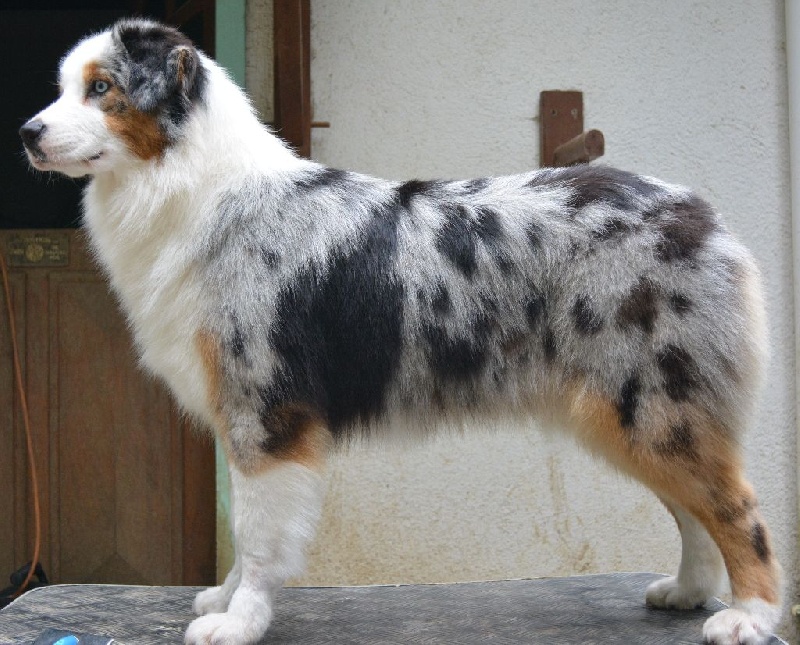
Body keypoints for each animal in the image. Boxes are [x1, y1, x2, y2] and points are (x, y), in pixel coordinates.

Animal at [20, 18, 781, 645]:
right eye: (62, 89)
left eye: (101, 88)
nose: (27, 132)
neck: (192, 186)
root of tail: (701, 214)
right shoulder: (242, 414)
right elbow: (245, 528)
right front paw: (226, 599)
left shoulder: (265, 408)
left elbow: (259, 533)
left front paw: (240, 621)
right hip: (636, 414)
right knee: (694, 510)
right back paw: (689, 591)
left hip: (654, 404)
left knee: (737, 508)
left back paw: (749, 616)